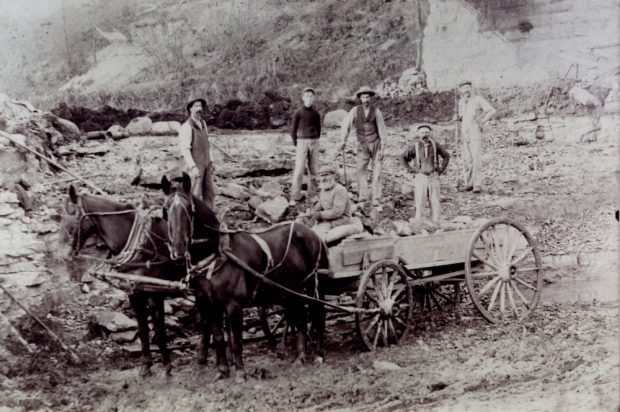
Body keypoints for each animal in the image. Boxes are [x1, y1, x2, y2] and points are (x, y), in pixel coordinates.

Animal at [59, 185, 212, 378]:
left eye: (70, 220)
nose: (62, 256)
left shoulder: (155, 292)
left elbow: (159, 330)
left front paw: (167, 365)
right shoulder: (135, 292)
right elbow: (143, 329)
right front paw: (146, 365)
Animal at [162, 174, 332, 384]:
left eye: (190, 209)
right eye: (166, 209)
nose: (178, 248)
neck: (218, 255)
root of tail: (313, 234)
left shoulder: (233, 305)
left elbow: (236, 341)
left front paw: (240, 373)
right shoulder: (210, 305)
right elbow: (218, 338)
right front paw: (222, 371)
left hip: (314, 287)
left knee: (318, 315)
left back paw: (318, 354)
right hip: (292, 291)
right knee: (299, 318)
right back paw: (300, 356)